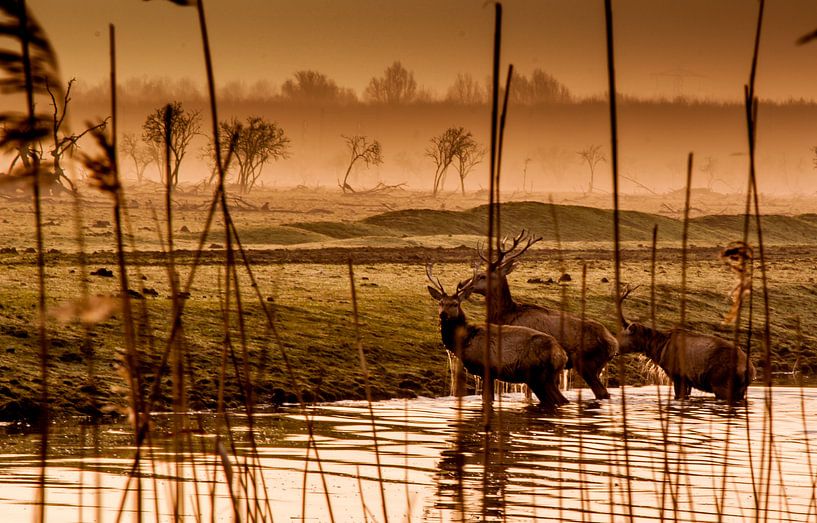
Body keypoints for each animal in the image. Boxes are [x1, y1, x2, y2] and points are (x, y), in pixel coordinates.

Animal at [428, 264, 568, 408]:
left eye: (455, 304)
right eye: (440, 302)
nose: (443, 314)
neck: (465, 340)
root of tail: (562, 355)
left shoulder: (486, 368)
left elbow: (486, 398)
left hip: (540, 376)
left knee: (559, 400)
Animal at [462, 231, 616, 400]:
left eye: (482, 276)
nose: (463, 286)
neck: (505, 315)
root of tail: (613, 343)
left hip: (586, 362)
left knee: (601, 392)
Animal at [616, 286, 756, 402]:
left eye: (623, 334)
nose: (615, 350)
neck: (658, 349)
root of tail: (749, 370)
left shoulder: (678, 375)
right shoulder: (686, 380)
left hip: (722, 384)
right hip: (740, 389)